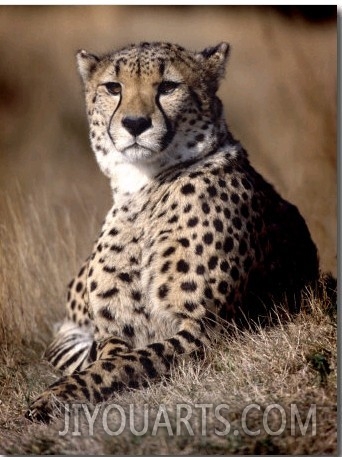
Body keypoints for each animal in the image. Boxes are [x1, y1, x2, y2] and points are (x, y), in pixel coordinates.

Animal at [25, 41, 320, 420]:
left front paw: (54, 396)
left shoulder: (205, 328)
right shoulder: (115, 332)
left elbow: (129, 361)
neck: (141, 188)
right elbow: (109, 358)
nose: (135, 123)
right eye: (113, 87)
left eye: (168, 87)